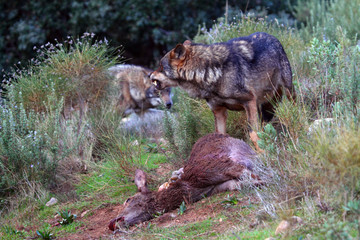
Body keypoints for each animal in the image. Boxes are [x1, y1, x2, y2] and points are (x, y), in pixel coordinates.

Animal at [150, 31, 294, 150]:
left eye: (161, 67)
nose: (150, 75)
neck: (210, 72)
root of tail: (272, 37)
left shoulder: (249, 102)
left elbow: (254, 134)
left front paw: (263, 155)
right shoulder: (219, 111)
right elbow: (219, 135)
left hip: (287, 92)